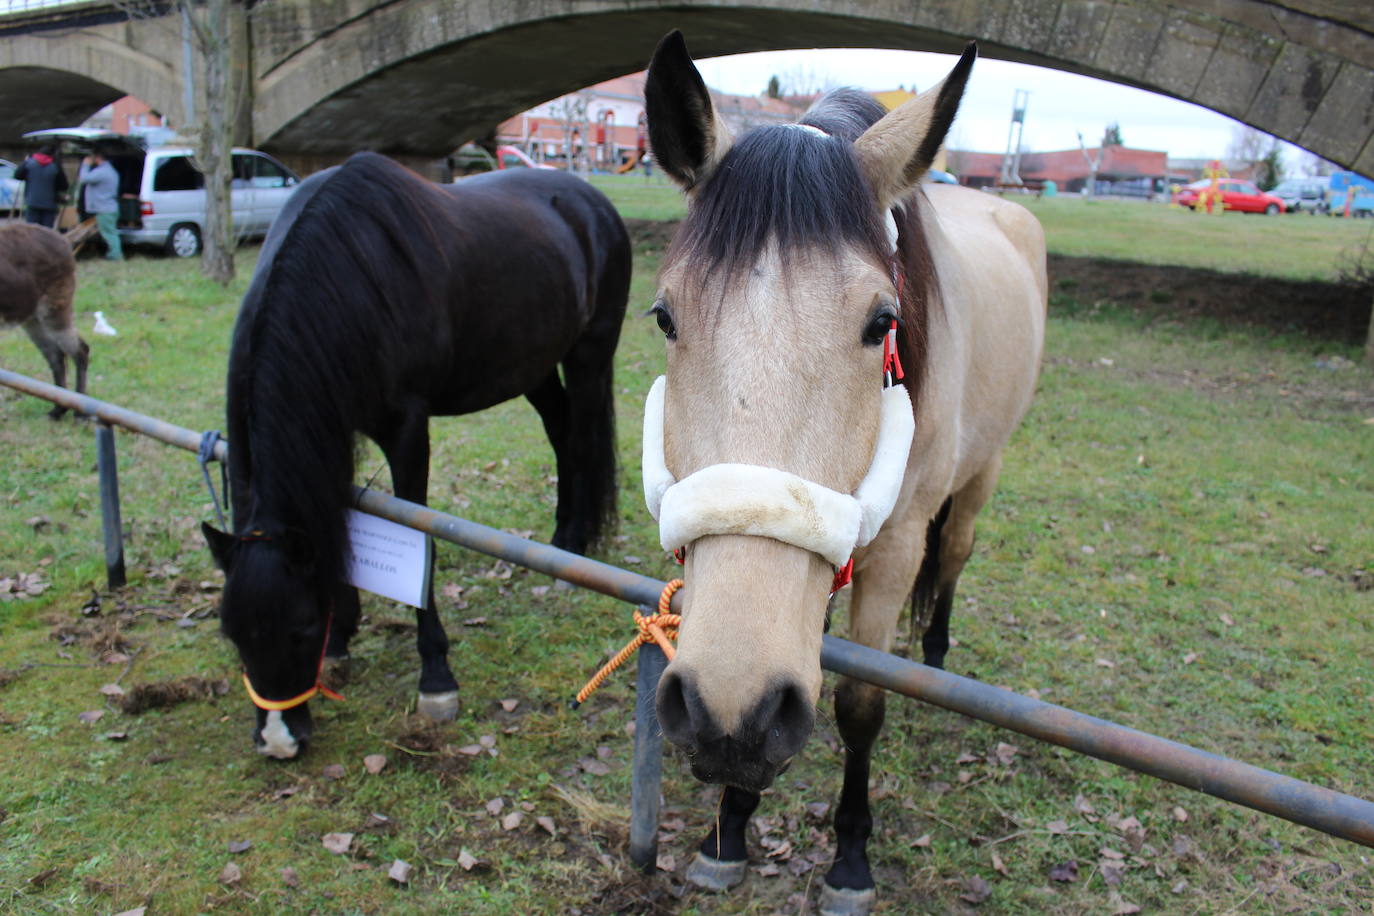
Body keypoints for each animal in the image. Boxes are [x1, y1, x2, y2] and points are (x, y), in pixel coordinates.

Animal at [200, 153, 629, 758]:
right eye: (232, 634)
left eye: (301, 628)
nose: (279, 740)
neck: (346, 278)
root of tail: (592, 202)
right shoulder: (337, 426)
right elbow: (340, 526)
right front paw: (344, 636)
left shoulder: (406, 429)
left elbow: (419, 542)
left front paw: (436, 678)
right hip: (533, 367)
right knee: (563, 434)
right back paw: (560, 539)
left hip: (589, 354)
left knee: (585, 438)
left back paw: (573, 548)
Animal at [637, 32, 1044, 911]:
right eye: (664, 316)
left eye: (880, 322)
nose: (727, 714)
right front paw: (729, 827)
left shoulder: (891, 547)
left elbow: (859, 704)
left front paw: (850, 856)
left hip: (983, 473)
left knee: (954, 557)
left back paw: (936, 655)